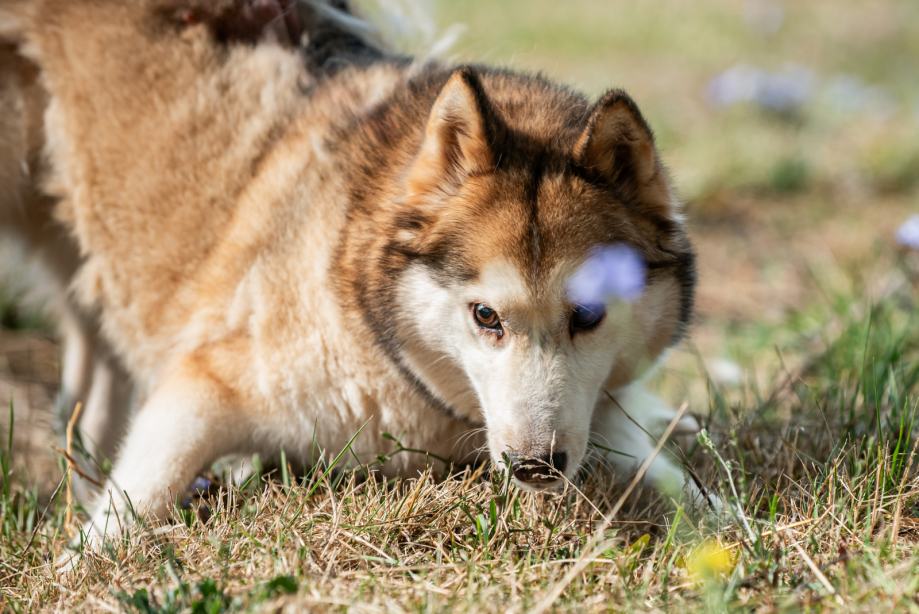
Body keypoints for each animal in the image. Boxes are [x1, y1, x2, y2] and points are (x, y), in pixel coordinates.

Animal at [0, 0, 708, 560]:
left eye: (588, 315)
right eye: (485, 316)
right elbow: (134, 503)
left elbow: (679, 483)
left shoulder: (603, 416)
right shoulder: (206, 387)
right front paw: (72, 569)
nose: (535, 465)